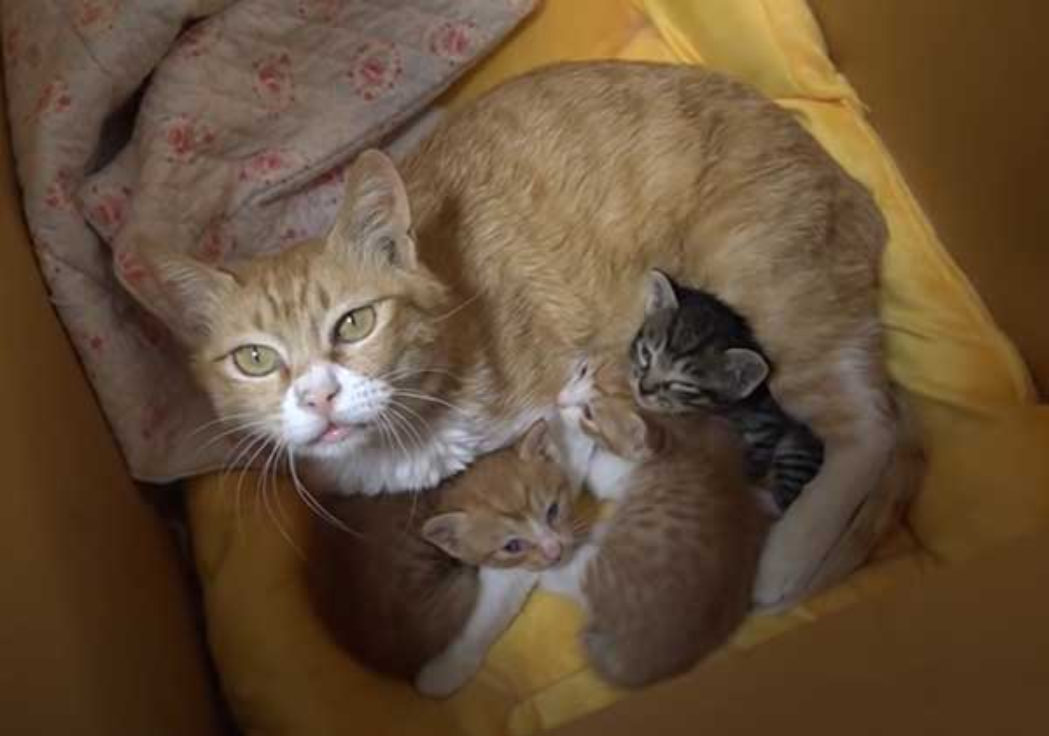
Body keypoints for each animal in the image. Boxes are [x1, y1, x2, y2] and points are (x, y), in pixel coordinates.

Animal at [629, 270, 826, 513]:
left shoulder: (766, 423)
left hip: (796, 449)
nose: (643, 388)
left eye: (684, 385)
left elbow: (752, 462)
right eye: (646, 353)